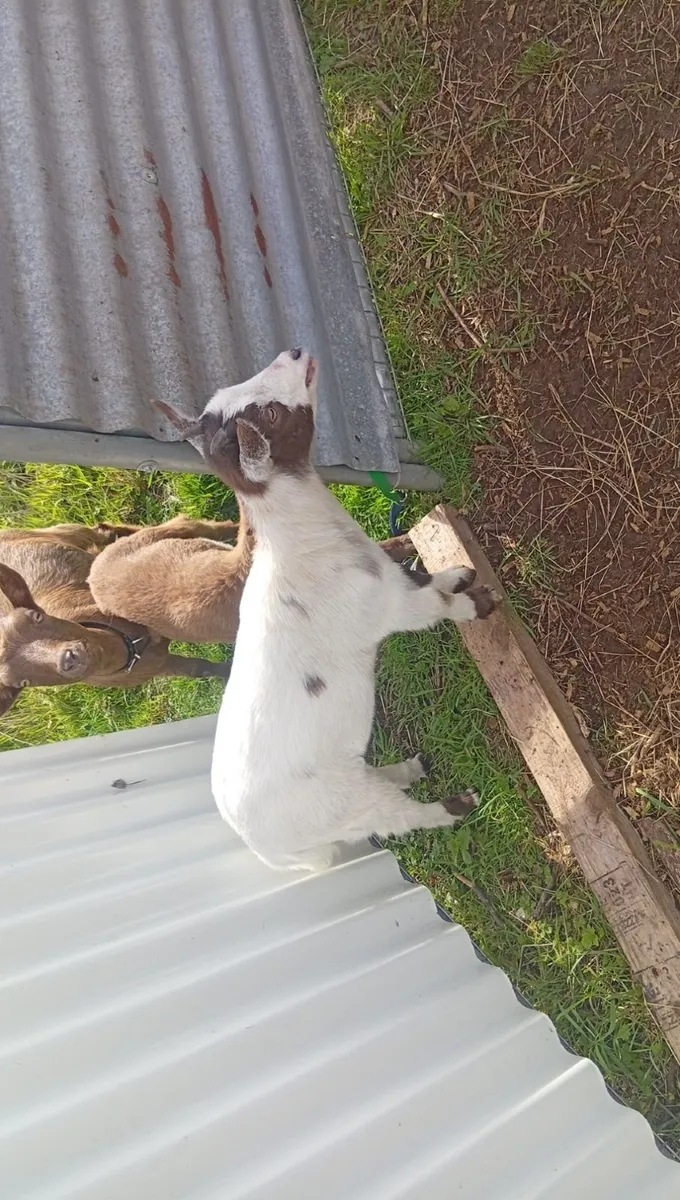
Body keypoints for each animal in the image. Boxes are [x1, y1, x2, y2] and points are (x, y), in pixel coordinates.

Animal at [156, 348, 497, 873]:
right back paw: (457, 803)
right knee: (402, 817)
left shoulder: (389, 577)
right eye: (272, 414)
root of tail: (272, 853)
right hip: (343, 807)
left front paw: (459, 572)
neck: (305, 543)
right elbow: (437, 604)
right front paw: (479, 602)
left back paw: (411, 768)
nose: (295, 352)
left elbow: (427, 579)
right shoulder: (389, 607)